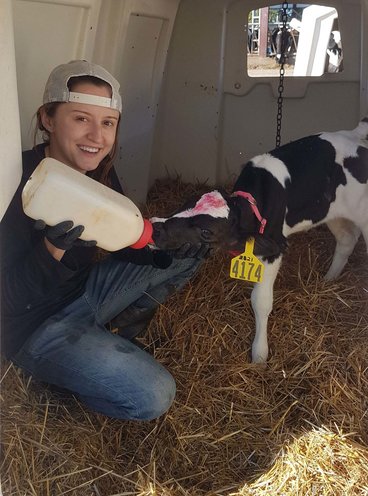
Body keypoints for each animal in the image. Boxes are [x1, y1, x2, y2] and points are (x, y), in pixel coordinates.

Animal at [150, 118, 368, 362]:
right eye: (185, 203)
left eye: (206, 232)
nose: (156, 229)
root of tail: (355, 134)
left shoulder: (274, 249)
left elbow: (261, 301)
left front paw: (259, 355)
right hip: (329, 211)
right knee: (347, 238)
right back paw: (329, 279)